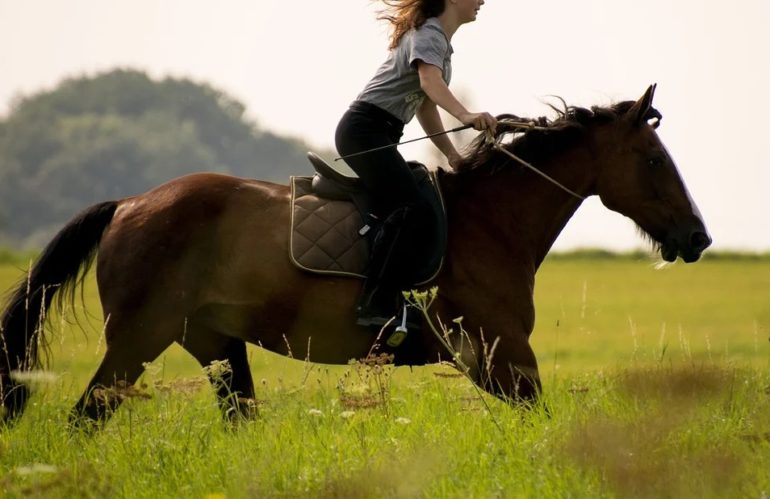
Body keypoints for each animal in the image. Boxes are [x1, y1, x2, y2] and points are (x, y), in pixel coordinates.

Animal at [0, 84, 708, 428]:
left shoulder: (500, 359)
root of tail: (130, 203)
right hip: (137, 340)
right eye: (653, 160)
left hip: (215, 345)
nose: (698, 237)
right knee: (84, 418)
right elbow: (543, 421)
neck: (490, 220)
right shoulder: (500, 354)